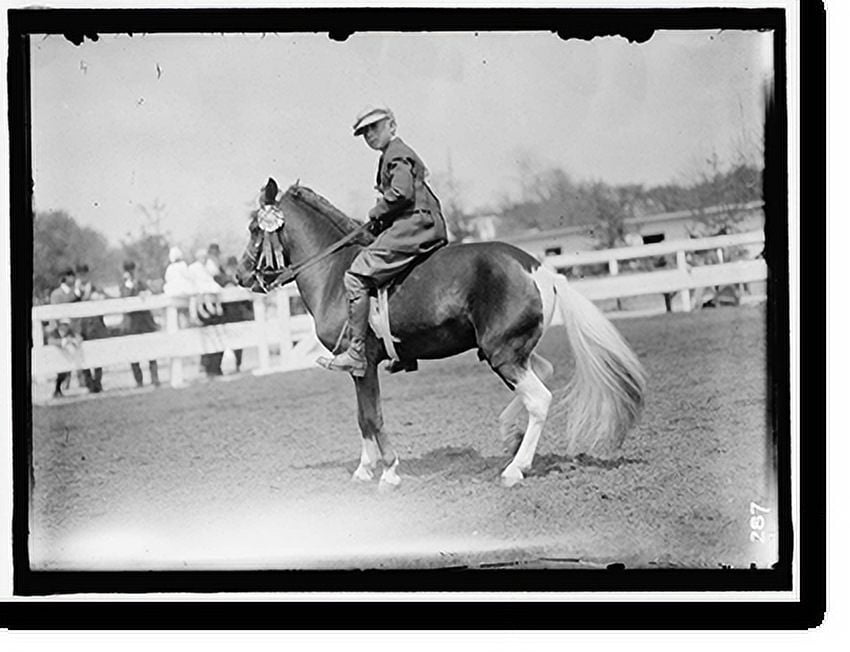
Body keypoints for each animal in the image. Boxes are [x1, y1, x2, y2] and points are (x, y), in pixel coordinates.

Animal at [237, 178, 646, 489]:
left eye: (256, 229)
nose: (240, 276)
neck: (337, 274)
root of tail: (537, 267)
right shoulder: (359, 371)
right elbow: (362, 417)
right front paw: (365, 469)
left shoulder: (362, 363)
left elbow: (372, 417)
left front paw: (388, 471)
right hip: (512, 351)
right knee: (542, 376)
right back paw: (509, 434)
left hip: (502, 354)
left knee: (539, 399)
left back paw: (515, 468)